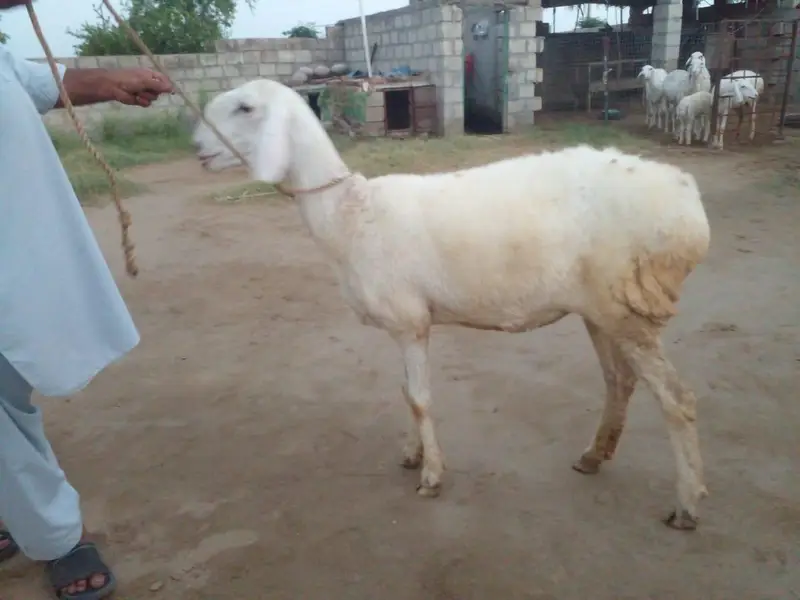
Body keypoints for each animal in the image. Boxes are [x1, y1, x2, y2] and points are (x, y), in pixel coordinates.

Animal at [193, 79, 712, 531]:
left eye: (245, 108)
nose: (197, 146)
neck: (350, 215)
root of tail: (689, 203)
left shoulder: (409, 322)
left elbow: (420, 399)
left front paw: (431, 476)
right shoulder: (406, 323)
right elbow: (406, 393)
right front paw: (412, 455)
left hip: (631, 306)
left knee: (678, 399)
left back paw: (687, 505)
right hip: (603, 308)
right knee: (619, 382)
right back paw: (593, 456)